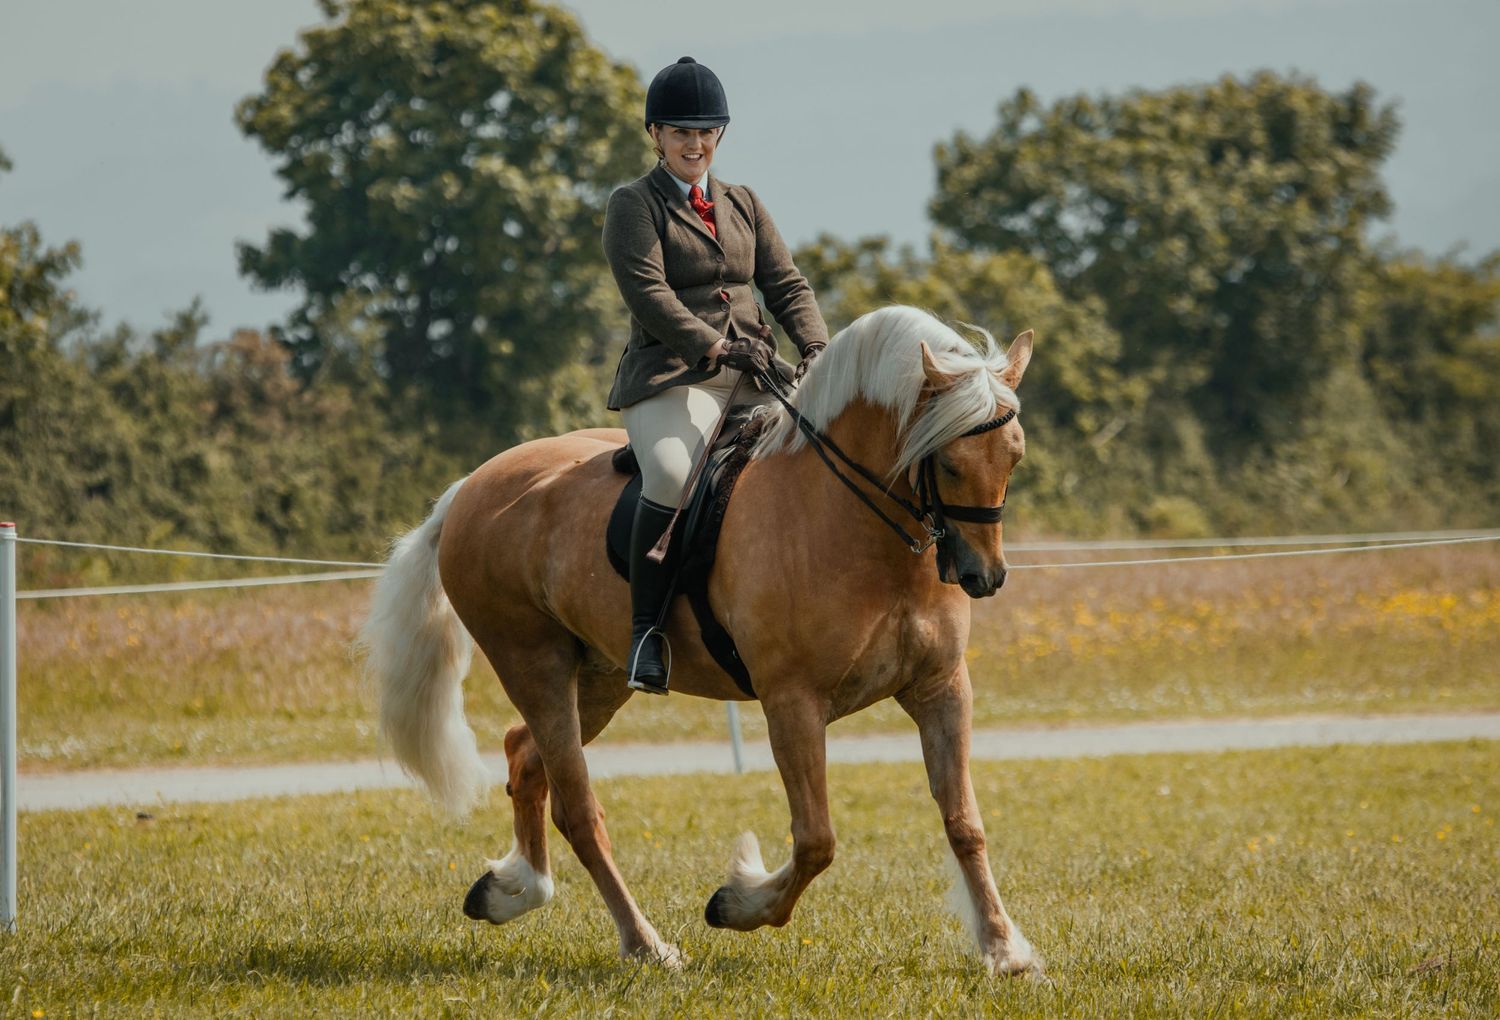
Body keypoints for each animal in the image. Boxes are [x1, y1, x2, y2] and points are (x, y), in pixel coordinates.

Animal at [359, 304, 1040, 976]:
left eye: (1013, 458)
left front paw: (1004, 949)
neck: (855, 522)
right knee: (578, 808)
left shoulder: (941, 688)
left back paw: (512, 890)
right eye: (948, 462)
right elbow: (816, 840)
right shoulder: (792, 702)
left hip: (600, 675)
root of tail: (471, 486)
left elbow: (964, 823)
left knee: (526, 756)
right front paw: (737, 901)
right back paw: (646, 944)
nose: (984, 577)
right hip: (533, 664)